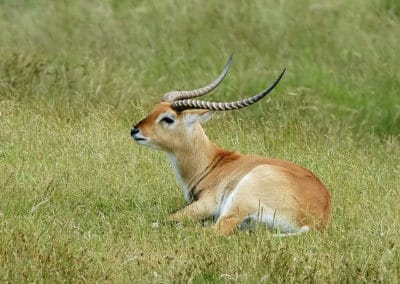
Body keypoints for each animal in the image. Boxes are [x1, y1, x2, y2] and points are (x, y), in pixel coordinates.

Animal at [131, 55, 332, 235]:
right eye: (154, 110)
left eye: (168, 118)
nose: (134, 130)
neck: (212, 164)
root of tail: (316, 221)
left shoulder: (206, 204)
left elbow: (166, 218)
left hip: (240, 198)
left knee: (215, 230)